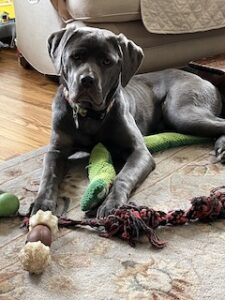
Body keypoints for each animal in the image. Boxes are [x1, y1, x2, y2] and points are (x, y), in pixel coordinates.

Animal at [31, 26, 225, 218]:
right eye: (76, 56)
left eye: (107, 61)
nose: (86, 80)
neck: (89, 115)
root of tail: (203, 79)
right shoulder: (56, 150)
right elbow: (48, 175)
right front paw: (42, 203)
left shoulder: (139, 152)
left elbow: (123, 177)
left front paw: (112, 204)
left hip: (180, 112)